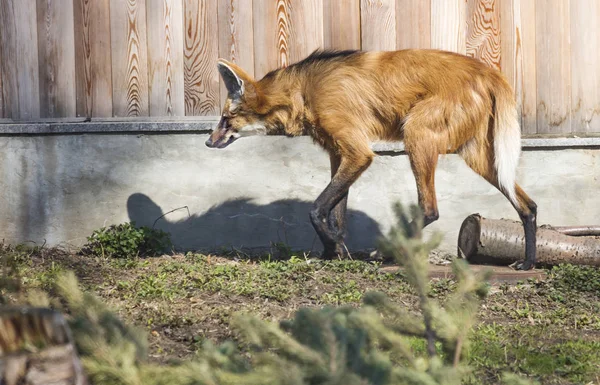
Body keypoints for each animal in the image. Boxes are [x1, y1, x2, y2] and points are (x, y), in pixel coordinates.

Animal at [206, 48, 540, 270]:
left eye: (225, 119)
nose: (208, 141)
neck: (303, 92)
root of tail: (489, 71)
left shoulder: (358, 153)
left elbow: (317, 209)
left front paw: (335, 248)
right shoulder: (339, 154)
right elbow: (336, 214)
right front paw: (334, 253)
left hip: (416, 136)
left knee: (430, 209)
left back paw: (389, 256)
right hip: (479, 157)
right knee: (528, 205)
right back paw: (528, 263)